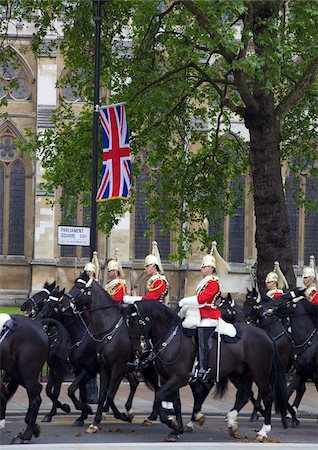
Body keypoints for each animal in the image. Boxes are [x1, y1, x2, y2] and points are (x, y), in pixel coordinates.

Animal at [0, 314, 48, 444]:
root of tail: (38, 326)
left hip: (28, 372)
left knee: (35, 399)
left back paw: (25, 436)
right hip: (16, 371)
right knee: (37, 390)